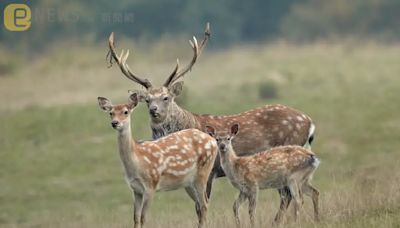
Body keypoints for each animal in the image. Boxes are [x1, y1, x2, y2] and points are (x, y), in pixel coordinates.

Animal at [97, 92, 217, 228]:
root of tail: (213, 141)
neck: (137, 160)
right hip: (188, 182)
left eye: (126, 112)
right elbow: (136, 218)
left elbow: (143, 217)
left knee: (204, 205)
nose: (115, 123)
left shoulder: (151, 185)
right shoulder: (136, 189)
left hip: (203, 172)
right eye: (111, 113)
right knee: (200, 204)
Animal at [105, 23, 316, 203]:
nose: (153, 111)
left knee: (288, 197)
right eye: (147, 99)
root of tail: (309, 122)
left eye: (166, 97)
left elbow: (202, 203)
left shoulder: (210, 171)